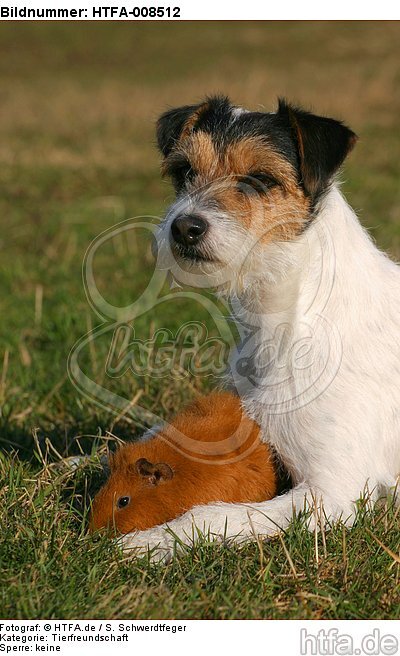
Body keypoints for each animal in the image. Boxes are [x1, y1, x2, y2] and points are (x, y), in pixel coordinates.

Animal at [121, 96, 400, 560]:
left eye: (260, 179)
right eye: (183, 172)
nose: (184, 227)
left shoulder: (332, 494)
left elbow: (213, 514)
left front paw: (148, 542)